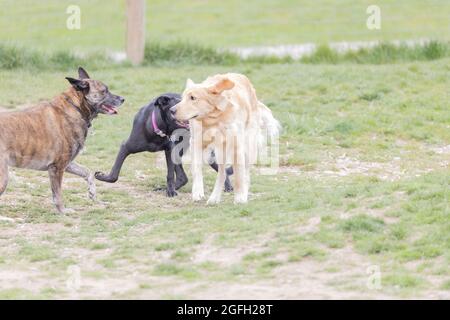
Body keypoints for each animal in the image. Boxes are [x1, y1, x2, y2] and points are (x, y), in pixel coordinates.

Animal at [0, 67, 125, 212]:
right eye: (104, 91)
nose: (123, 99)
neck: (75, 107)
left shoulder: (68, 163)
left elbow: (88, 172)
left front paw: (92, 193)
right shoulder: (57, 168)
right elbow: (58, 194)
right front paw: (63, 211)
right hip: (3, 178)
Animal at [96, 92, 236, 196]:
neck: (157, 129)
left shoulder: (170, 150)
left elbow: (170, 174)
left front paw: (170, 192)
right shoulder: (126, 147)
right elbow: (114, 174)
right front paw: (102, 177)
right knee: (183, 177)